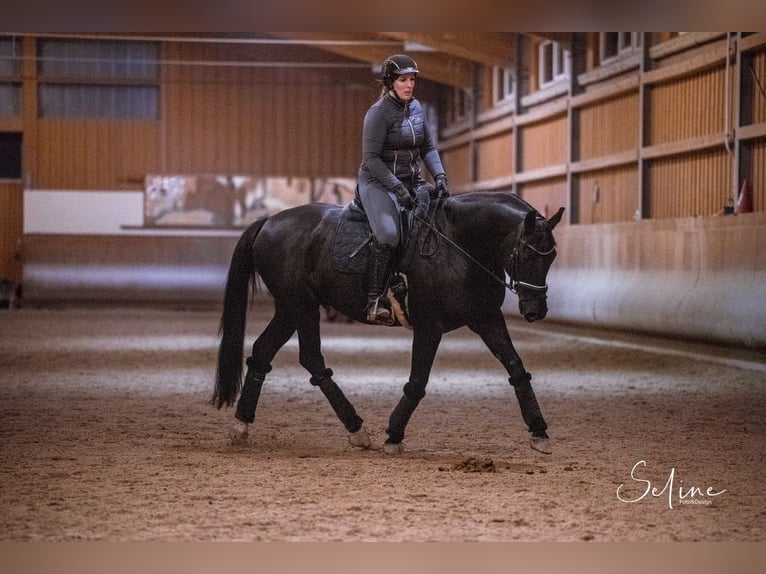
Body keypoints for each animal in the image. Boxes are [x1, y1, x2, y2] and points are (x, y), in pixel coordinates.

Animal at [213, 192, 568, 454]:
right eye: (528, 254)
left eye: (551, 256)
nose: (535, 310)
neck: (459, 245)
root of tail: (268, 222)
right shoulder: (429, 325)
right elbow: (418, 381)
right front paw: (394, 435)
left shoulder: (486, 318)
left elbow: (516, 367)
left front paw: (539, 431)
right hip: (301, 305)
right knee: (311, 358)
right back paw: (357, 429)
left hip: (290, 308)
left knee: (263, 352)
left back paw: (242, 423)